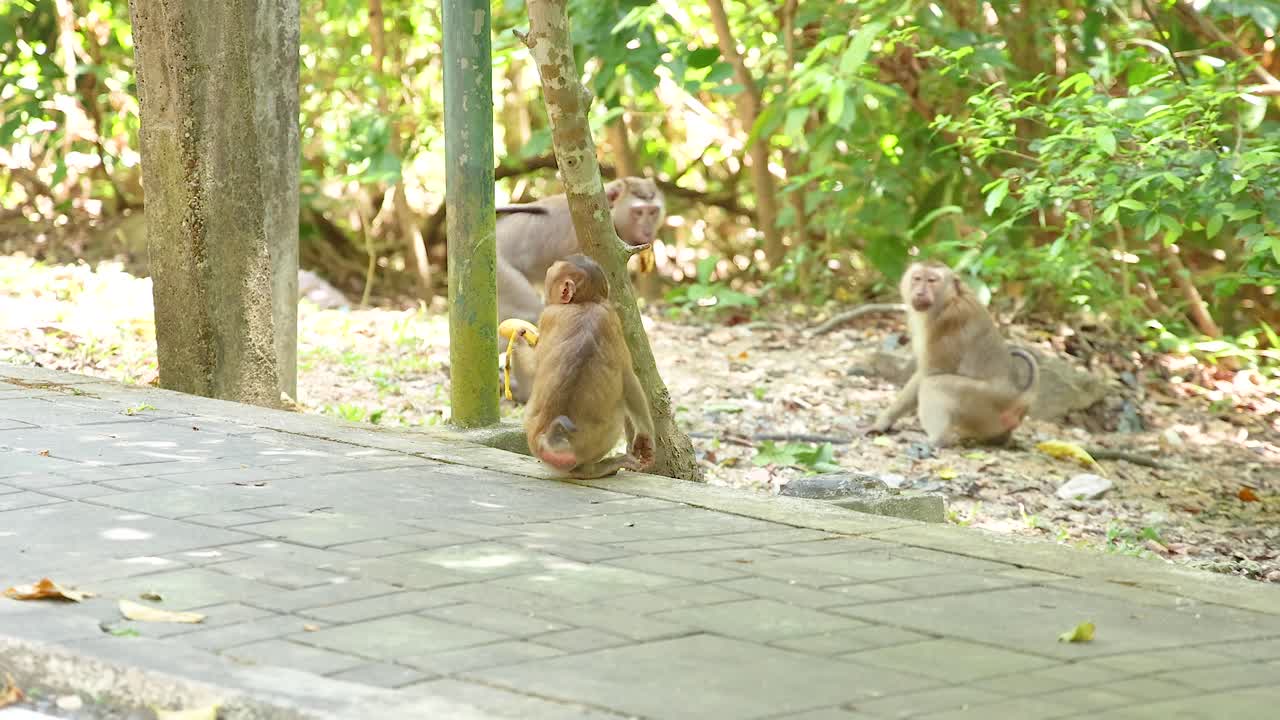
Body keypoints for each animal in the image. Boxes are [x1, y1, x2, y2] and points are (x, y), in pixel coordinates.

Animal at [523, 254, 655, 478]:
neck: (585, 303)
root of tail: (547, 442)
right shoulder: (612, 317)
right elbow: (629, 378)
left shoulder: (549, 315)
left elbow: (629, 378)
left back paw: (591, 470)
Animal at [866, 261, 1039, 448]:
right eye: (917, 278)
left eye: (932, 280)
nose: (920, 292)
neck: (949, 300)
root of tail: (1019, 397)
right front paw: (884, 421)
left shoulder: (947, 322)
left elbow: (929, 373)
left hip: (987, 404)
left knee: (934, 384)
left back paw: (935, 439)